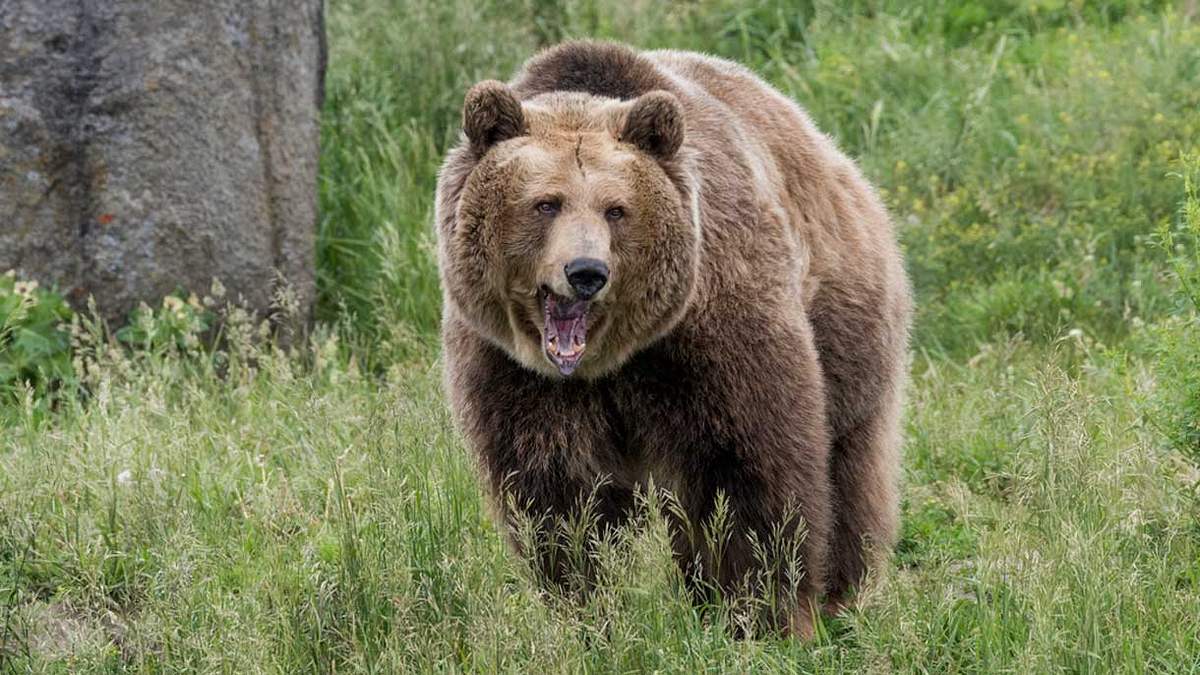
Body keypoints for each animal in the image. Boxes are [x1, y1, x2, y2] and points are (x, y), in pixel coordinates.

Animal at [436, 40, 912, 634]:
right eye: (546, 203)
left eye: (616, 209)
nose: (586, 272)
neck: (612, 360)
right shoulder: (514, 370)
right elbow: (558, 496)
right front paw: (587, 609)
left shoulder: (712, 331)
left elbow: (748, 470)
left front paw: (763, 613)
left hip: (845, 316)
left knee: (849, 462)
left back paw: (839, 595)